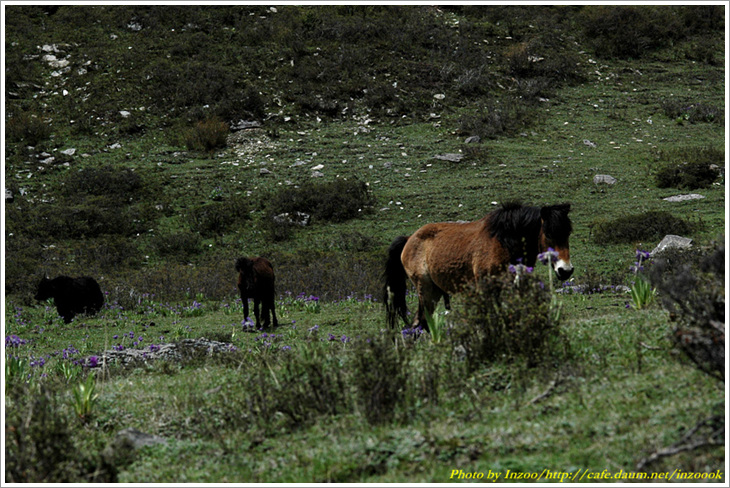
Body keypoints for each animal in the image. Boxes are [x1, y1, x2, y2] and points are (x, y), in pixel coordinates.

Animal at [384, 200, 572, 330]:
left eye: (568, 233)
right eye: (548, 234)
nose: (566, 270)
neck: (503, 242)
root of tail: (409, 238)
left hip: (434, 292)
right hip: (426, 290)